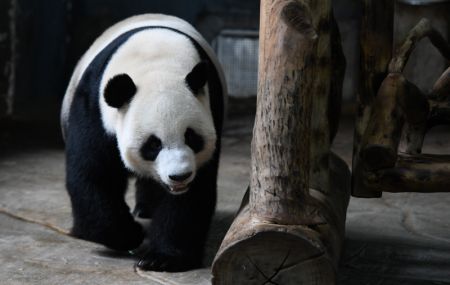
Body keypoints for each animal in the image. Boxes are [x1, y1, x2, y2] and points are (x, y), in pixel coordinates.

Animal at [60, 14, 225, 272]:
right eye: (153, 144)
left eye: (191, 137)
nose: (179, 176)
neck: (157, 64)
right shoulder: (94, 108)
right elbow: (94, 174)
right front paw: (129, 234)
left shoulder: (212, 107)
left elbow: (193, 194)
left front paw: (164, 258)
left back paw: (146, 208)